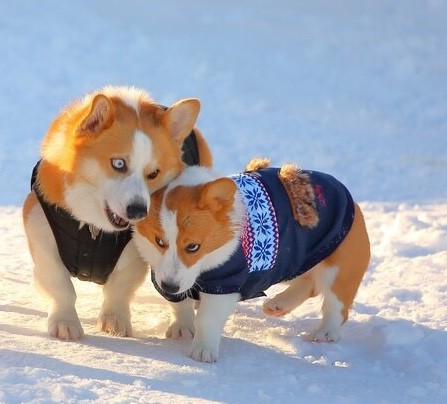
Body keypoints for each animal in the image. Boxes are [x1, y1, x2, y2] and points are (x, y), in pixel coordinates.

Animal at [22, 85, 214, 340]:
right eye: (119, 164)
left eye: (154, 173)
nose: (138, 211)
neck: (94, 227)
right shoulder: (41, 234)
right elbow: (61, 286)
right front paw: (65, 324)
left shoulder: (134, 252)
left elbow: (118, 288)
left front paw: (114, 323)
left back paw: (183, 326)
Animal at [134, 156, 372, 362]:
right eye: (159, 241)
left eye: (193, 247)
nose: (170, 286)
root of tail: (350, 198)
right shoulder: (164, 275)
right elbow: (179, 305)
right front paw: (182, 328)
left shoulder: (225, 283)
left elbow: (207, 318)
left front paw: (203, 350)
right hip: (296, 257)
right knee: (309, 284)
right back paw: (278, 305)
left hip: (338, 268)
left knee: (336, 304)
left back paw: (325, 332)